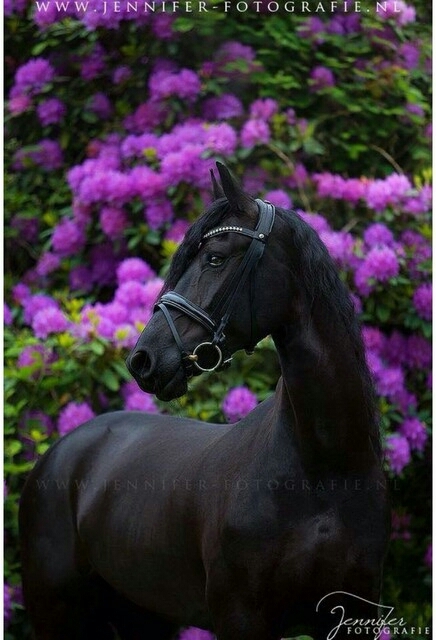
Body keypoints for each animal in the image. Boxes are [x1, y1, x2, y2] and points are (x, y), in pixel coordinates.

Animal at [19, 162, 390, 640]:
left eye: (215, 257)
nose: (143, 359)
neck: (326, 471)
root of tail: (57, 455)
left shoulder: (350, 613)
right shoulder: (241, 617)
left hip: (142, 615)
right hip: (57, 614)